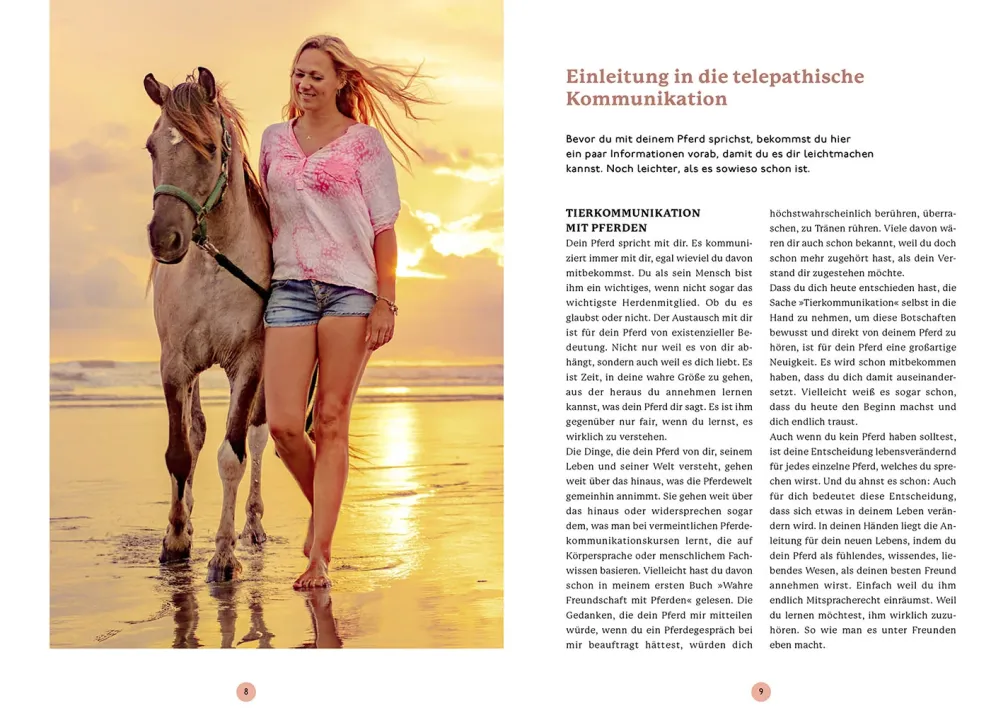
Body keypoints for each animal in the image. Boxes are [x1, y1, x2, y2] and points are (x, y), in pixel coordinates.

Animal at [142, 67, 272, 582]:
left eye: (210, 147)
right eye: (151, 147)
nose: (164, 238)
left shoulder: (249, 364)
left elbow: (232, 455)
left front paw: (223, 555)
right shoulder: (175, 365)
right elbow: (181, 451)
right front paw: (176, 539)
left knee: (257, 437)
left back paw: (252, 528)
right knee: (195, 432)